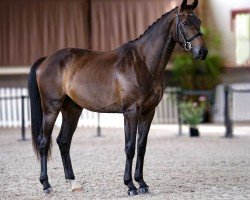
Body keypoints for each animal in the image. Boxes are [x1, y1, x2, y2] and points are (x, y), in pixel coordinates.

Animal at [27, 0, 207, 195]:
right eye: (185, 23)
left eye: (199, 22)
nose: (202, 52)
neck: (143, 62)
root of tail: (46, 59)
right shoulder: (131, 112)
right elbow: (129, 147)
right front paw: (130, 185)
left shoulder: (148, 112)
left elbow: (141, 146)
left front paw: (142, 183)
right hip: (51, 108)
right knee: (44, 142)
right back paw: (46, 184)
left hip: (72, 110)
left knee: (63, 141)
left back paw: (73, 183)